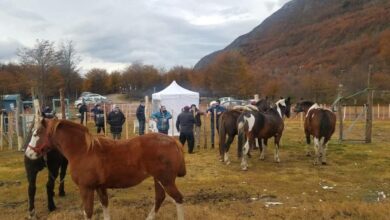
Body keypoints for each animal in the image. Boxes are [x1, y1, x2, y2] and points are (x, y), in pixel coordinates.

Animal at [26, 118, 187, 220]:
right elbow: (104, 206)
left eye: (36, 134)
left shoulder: (86, 188)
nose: (28, 154)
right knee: (160, 197)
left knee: (178, 199)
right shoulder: (99, 187)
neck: (83, 151)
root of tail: (173, 141)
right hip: (158, 179)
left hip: (166, 181)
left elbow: (88, 212)